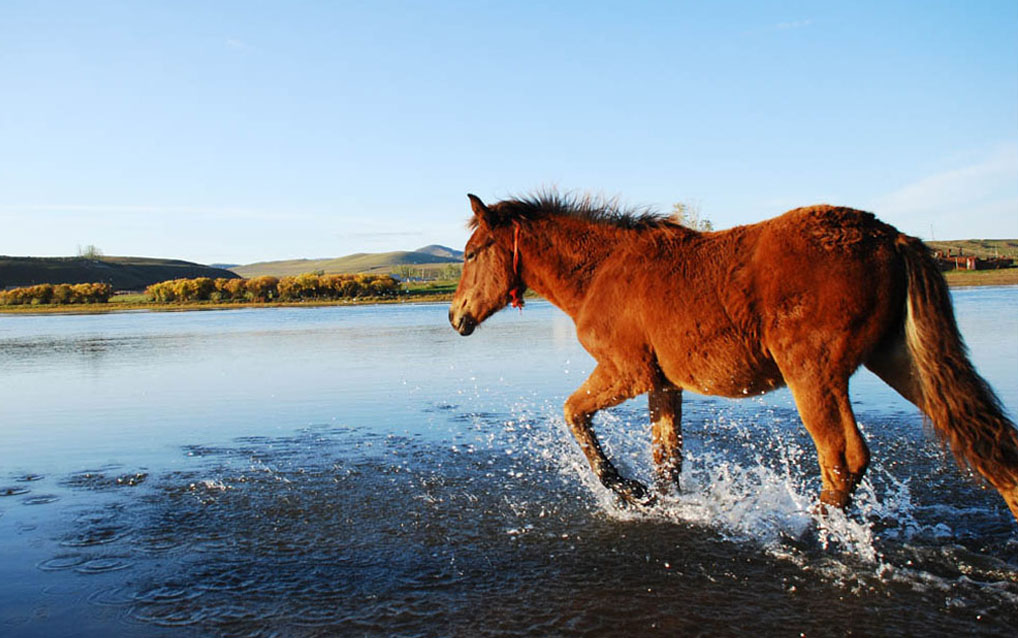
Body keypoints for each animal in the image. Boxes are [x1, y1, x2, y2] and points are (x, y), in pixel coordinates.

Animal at [447, 192, 1018, 520]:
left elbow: (573, 415)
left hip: (814, 373)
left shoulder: (627, 372)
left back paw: (805, 534)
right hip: (900, 360)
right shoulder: (663, 382)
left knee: (843, 458)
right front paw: (659, 500)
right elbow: (667, 456)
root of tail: (892, 237)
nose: (456, 317)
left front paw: (624, 489)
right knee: (979, 434)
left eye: (472, 253)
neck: (603, 271)